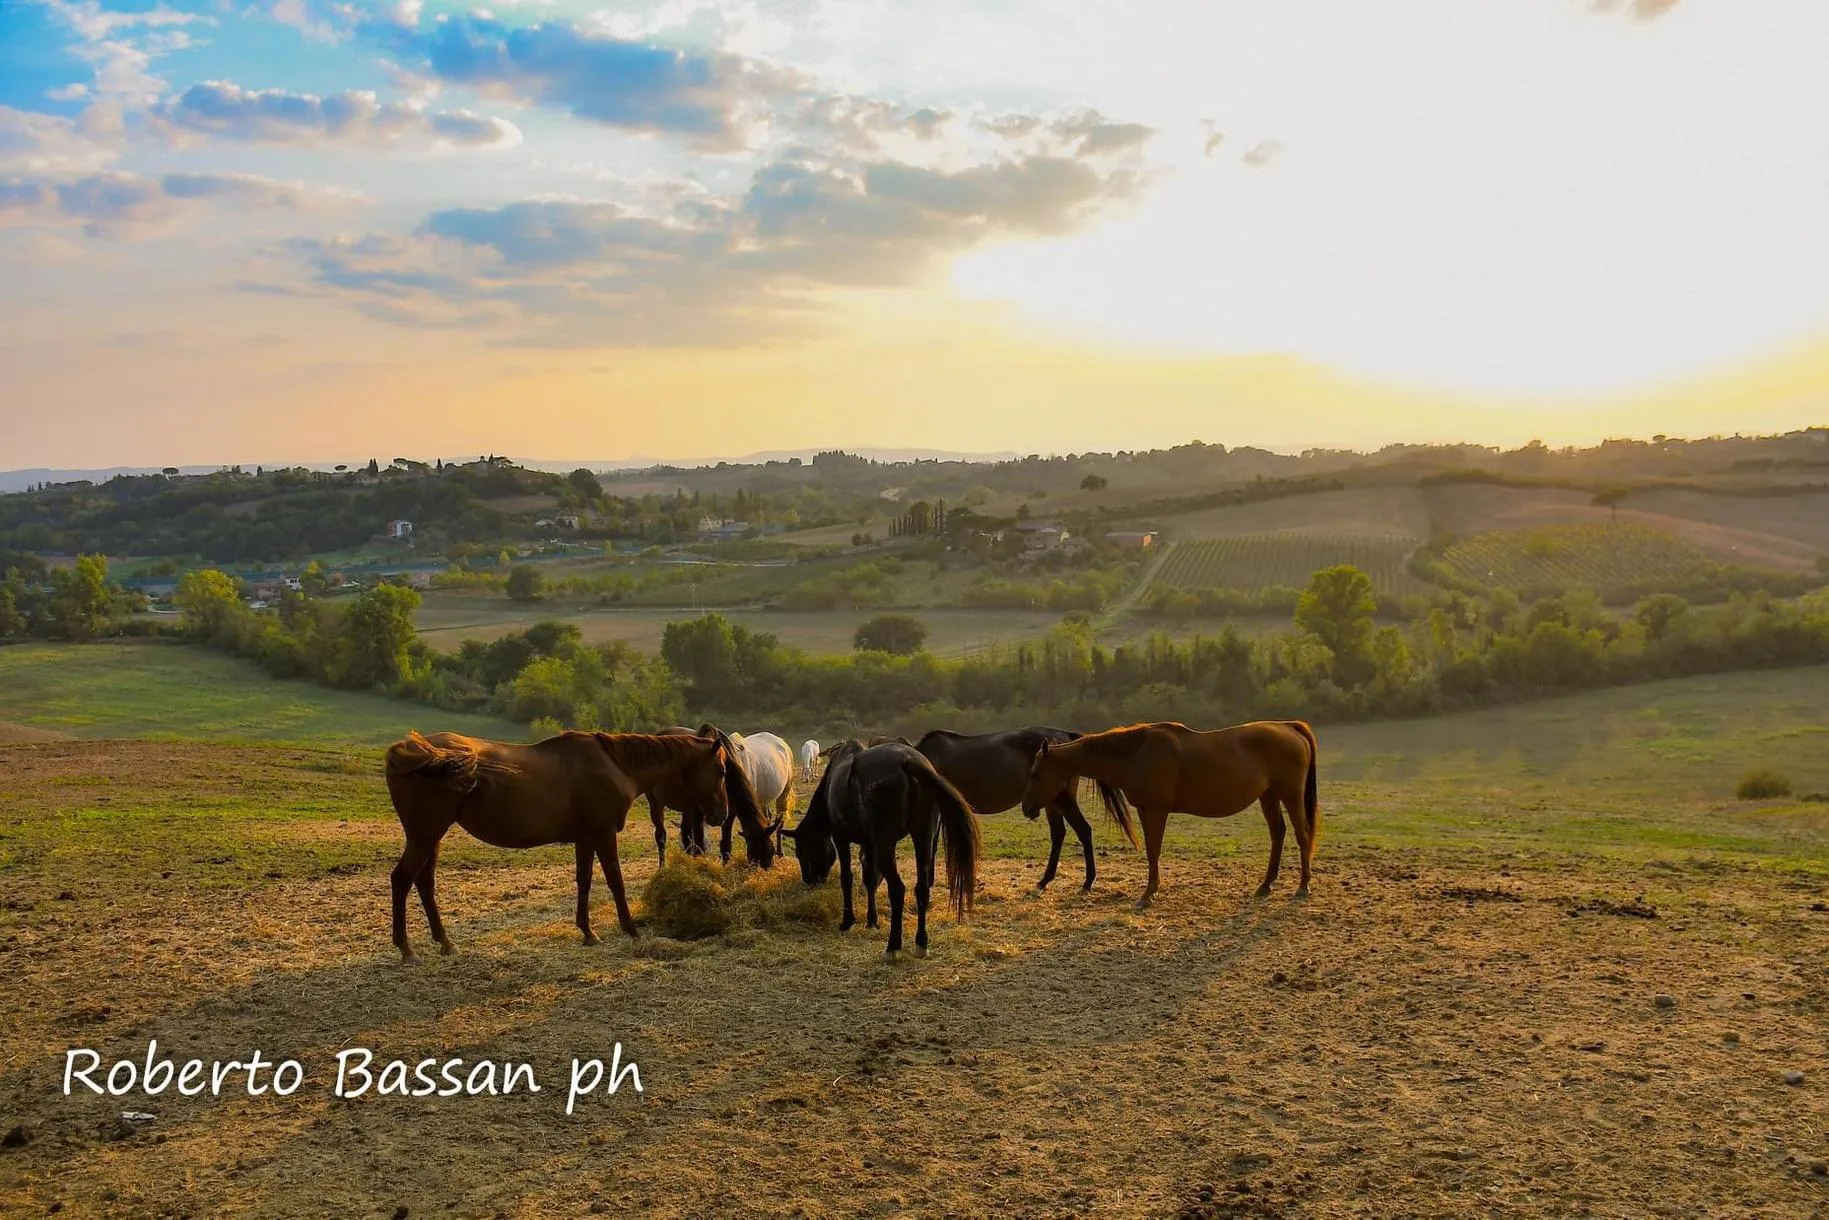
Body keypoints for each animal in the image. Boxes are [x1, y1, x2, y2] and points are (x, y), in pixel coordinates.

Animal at [384, 727, 776, 962]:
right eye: (723, 771)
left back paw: (444, 941)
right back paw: (406, 949)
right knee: (402, 879)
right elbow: (615, 882)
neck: (614, 765)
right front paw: (631, 929)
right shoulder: (603, 834)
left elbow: (585, 882)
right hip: (425, 834)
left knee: (424, 882)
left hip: (432, 836)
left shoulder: (585, 837)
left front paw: (588, 932)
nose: (721, 814)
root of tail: (411, 750)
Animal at [781, 739, 982, 959]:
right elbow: (870, 879)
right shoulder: (869, 844)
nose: (808, 880)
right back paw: (921, 943)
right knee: (921, 888)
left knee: (897, 889)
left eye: (801, 852)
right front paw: (872, 920)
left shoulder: (842, 839)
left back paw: (892, 947)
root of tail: (908, 761)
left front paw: (847, 921)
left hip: (886, 844)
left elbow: (847, 878)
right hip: (923, 839)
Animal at [911, 727, 1136, 893]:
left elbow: (930, 844)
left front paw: (928, 881)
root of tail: (1066, 736)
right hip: (1051, 803)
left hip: (1061, 800)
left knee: (1082, 831)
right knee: (1060, 834)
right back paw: (1046, 880)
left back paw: (1086, 882)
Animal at [1020, 720, 1319, 910]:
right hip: (1268, 795)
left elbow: (1153, 850)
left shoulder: (1156, 810)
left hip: (1290, 794)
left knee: (1302, 835)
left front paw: (1147, 895)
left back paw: (1303, 886)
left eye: (1035, 774)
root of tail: (1289, 726)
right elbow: (1152, 850)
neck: (1136, 753)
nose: (1027, 808)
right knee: (1278, 833)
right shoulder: (1145, 810)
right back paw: (1266, 885)